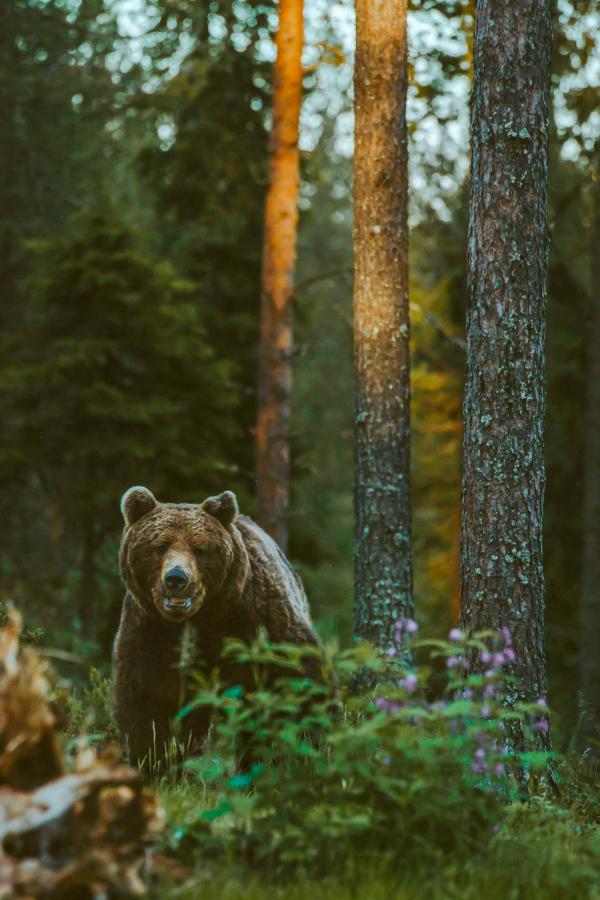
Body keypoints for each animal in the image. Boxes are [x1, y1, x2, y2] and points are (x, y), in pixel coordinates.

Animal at [112, 486, 324, 768]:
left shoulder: (258, 619)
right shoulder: (151, 632)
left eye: (199, 548)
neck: (200, 617)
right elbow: (147, 702)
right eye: (160, 545)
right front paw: (154, 762)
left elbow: (299, 676)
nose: (176, 578)